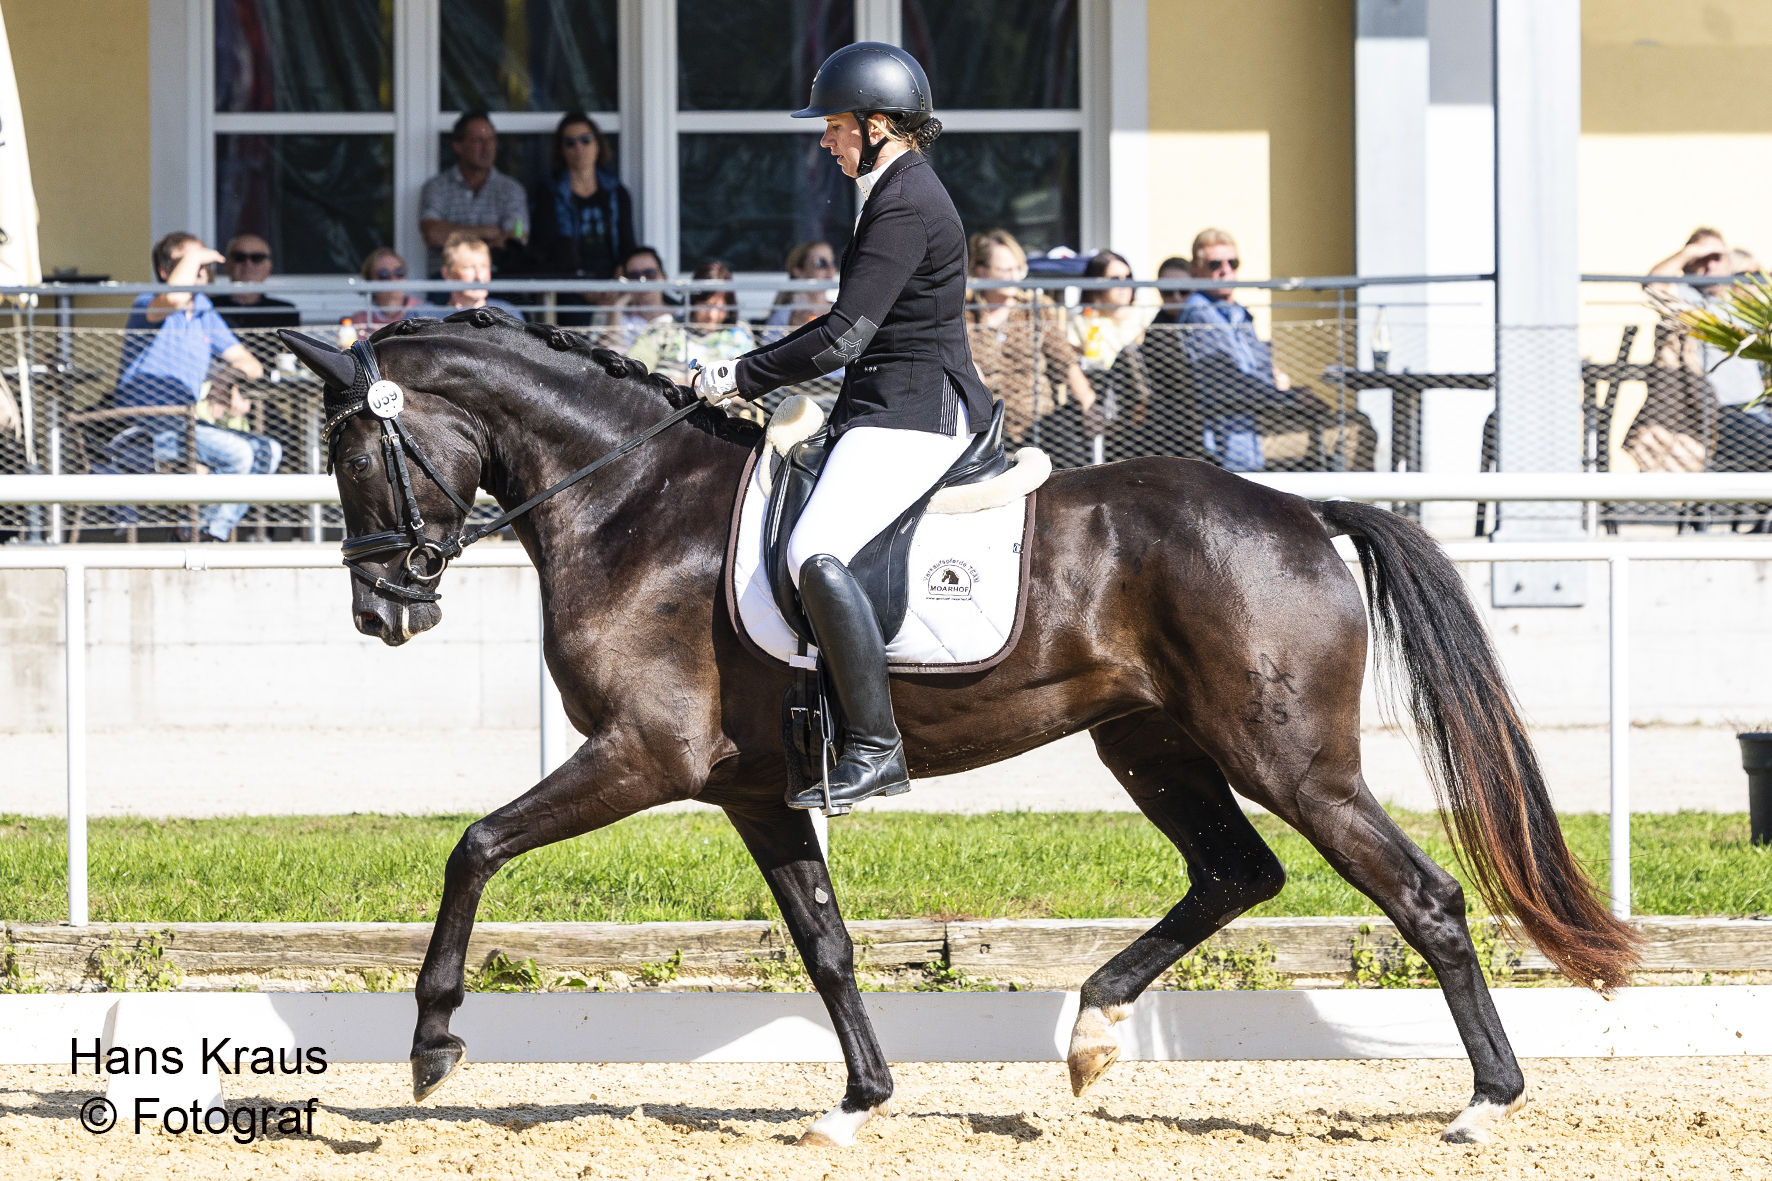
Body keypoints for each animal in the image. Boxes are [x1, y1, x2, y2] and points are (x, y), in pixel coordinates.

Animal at [287, 310, 1630, 1141]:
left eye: (354, 453)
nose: (381, 609)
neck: (633, 502)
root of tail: (1300, 511)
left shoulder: (643, 755)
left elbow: (473, 844)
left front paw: (433, 1040)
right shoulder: (755, 790)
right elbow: (825, 944)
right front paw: (857, 1099)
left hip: (1290, 756)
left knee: (1420, 896)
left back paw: (1483, 1101)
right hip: (1149, 742)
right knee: (1233, 870)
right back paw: (1091, 1033)